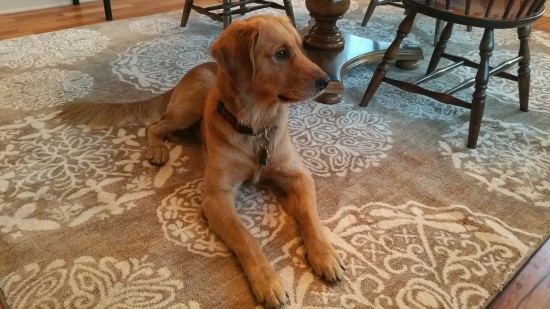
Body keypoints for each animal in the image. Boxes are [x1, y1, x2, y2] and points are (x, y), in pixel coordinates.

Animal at [60, 15, 344, 306]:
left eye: (301, 47)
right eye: (281, 54)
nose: (326, 81)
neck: (256, 126)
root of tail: (196, 70)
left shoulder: (299, 176)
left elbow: (311, 218)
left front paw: (325, 255)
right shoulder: (216, 198)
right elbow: (246, 238)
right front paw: (267, 281)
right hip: (188, 108)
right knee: (155, 126)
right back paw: (158, 150)